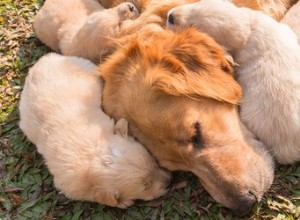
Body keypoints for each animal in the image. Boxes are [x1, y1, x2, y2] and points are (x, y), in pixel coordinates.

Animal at [18, 52, 170, 208]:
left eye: (153, 162)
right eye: (146, 186)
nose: (170, 181)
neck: (94, 154)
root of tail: (44, 59)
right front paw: (123, 202)